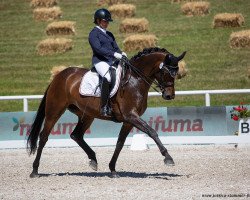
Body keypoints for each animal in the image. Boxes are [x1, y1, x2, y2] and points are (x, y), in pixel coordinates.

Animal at [26, 47, 186, 178]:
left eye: (176, 72)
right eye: (166, 72)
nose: (169, 96)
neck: (135, 80)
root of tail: (59, 76)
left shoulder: (129, 120)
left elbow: (120, 143)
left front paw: (113, 169)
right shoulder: (131, 116)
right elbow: (152, 131)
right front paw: (168, 157)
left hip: (86, 115)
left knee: (76, 135)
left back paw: (93, 159)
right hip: (54, 111)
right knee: (44, 137)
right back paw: (35, 170)